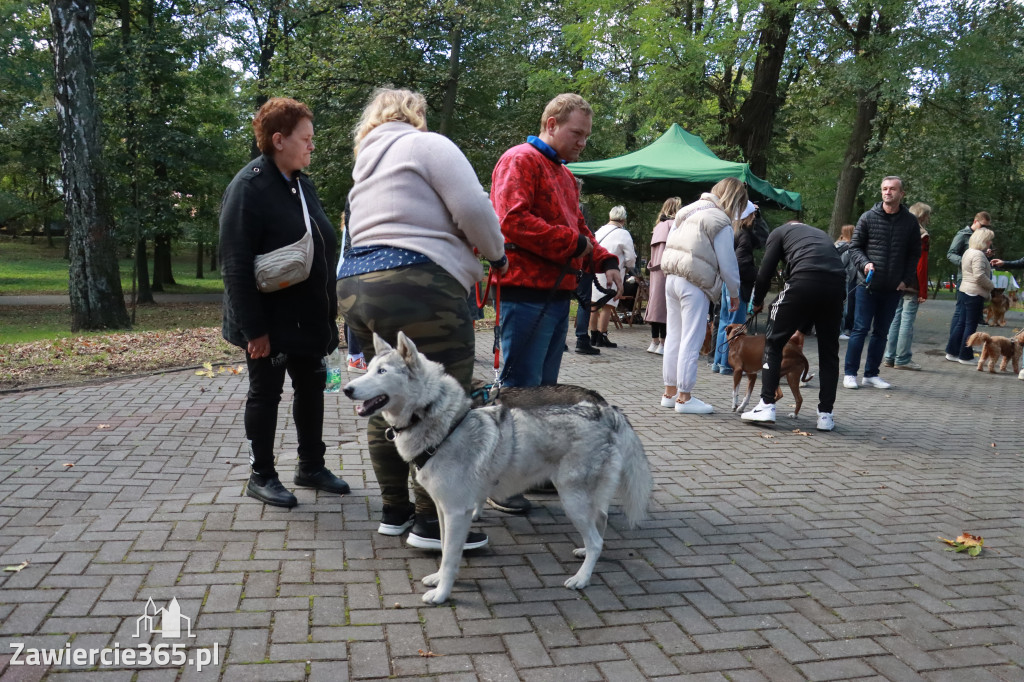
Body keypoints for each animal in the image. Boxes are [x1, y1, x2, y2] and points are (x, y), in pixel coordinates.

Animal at [342, 331, 647, 602]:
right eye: (368, 369)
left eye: (382, 372)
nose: (346, 389)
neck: (442, 426)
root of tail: (605, 411)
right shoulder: (444, 510)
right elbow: (444, 548)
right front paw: (438, 579)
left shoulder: (457, 511)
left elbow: (451, 557)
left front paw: (442, 594)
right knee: (600, 525)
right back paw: (586, 554)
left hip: (572, 500)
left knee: (597, 539)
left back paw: (581, 578)